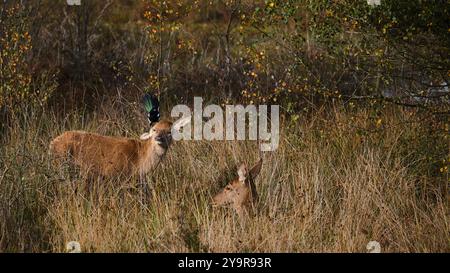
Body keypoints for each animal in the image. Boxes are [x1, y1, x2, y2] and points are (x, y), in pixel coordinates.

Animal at [49, 93, 190, 185]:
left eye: (169, 131)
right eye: (154, 129)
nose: (158, 138)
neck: (139, 161)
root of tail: (52, 143)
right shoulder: (113, 176)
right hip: (62, 163)